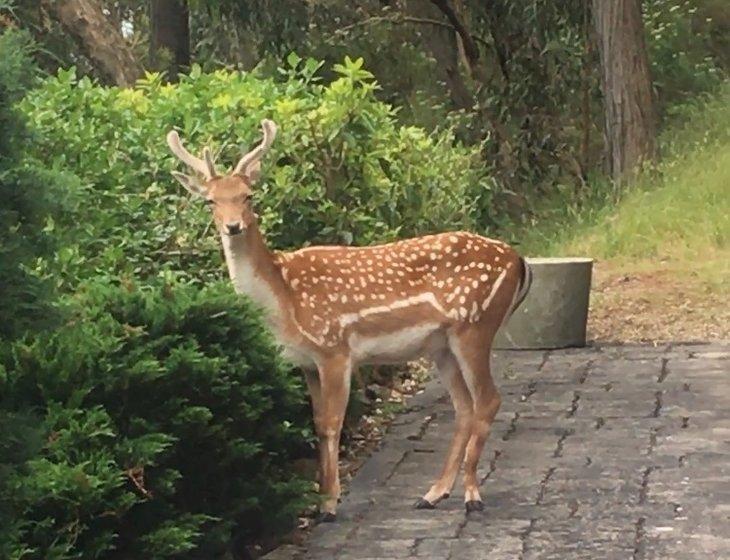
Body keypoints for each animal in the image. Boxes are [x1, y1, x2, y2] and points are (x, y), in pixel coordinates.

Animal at [165, 118, 528, 520]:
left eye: (248, 195)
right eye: (210, 200)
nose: (232, 226)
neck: (284, 302)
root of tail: (518, 260)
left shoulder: (334, 348)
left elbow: (331, 424)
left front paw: (329, 503)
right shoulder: (307, 363)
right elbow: (316, 424)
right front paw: (321, 498)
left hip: (475, 324)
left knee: (488, 400)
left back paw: (471, 495)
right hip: (442, 344)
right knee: (464, 407)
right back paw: (433, 493)